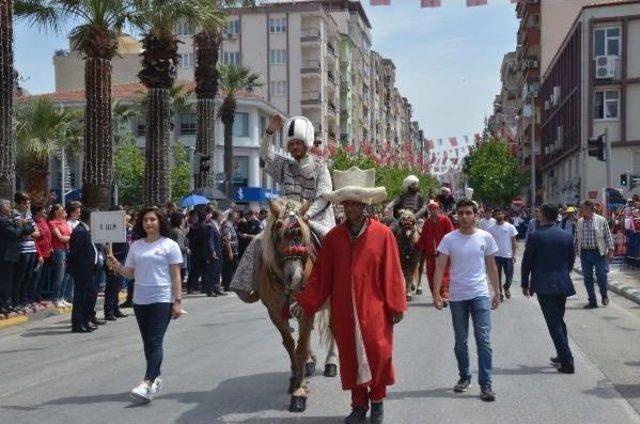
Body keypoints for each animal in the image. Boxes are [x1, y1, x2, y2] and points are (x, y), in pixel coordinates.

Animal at [246, 200, 338, 414]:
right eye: (278, 227)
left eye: (302, 234)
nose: (295, 277)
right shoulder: (275, 314)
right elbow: (290, 345)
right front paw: (296, 378)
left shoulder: (307, 310)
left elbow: (301, 348)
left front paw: (299, 393)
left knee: (332, 330)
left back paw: (330, 363)